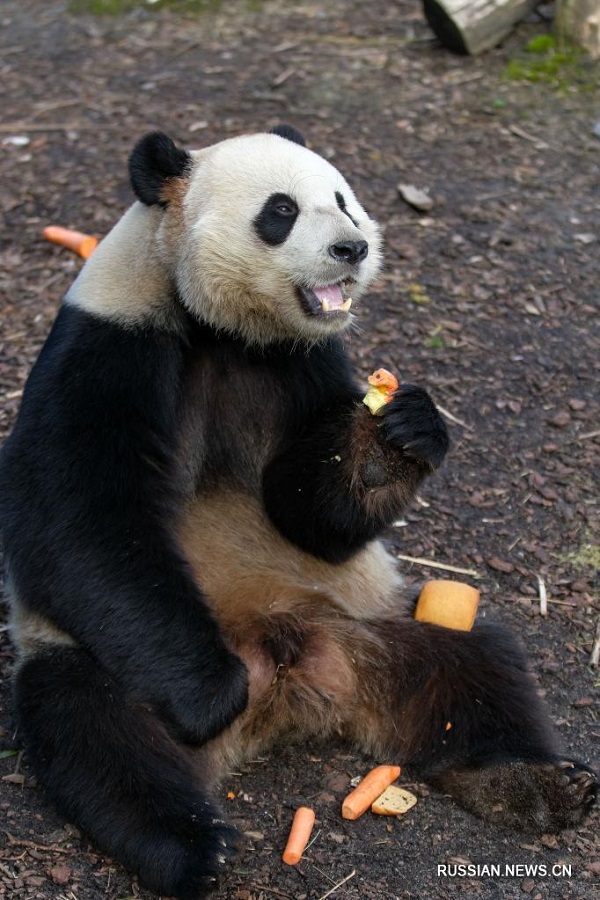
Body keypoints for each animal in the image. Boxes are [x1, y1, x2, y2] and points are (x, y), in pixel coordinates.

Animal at [0, 125, 596, 892]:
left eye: (342, 199)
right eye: (280, 211)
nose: (353, 248)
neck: (225, 330)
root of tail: (286, 689)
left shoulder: (307, 361)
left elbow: (311, 517)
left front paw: (392, 441)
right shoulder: (111, 343)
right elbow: (79, 520)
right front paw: (211, 693)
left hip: (365, 621)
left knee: (476, 668)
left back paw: (538, 783)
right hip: (102, 661)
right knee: (95, 731)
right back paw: (195, 846)